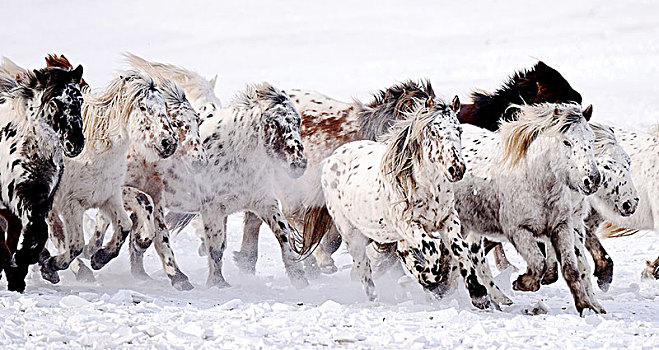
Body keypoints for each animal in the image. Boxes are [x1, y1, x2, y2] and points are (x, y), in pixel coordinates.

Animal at [0, 63, 85, 292]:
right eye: (54, 102)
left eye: (80, 100)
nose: (75, 143)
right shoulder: (19, 197)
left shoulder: (39, 200)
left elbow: (38, 234)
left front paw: (23, 267)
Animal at [38, 69, 178, 284]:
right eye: (143, 107)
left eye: (164, 107)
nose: (169, 143)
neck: (91, 155)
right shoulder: (71, 205)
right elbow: (75, 243)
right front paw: (56, 264)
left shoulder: (109, 197)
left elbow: (127, 224)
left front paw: (100, 257)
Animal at [164, 83, 310, 288]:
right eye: (274, 123)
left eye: (297, 121)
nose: (299, 165)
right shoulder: (212, 210)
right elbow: (216, 247)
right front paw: (218, 283)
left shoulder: (264, 202)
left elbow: (283, 233)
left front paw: (299, 278)